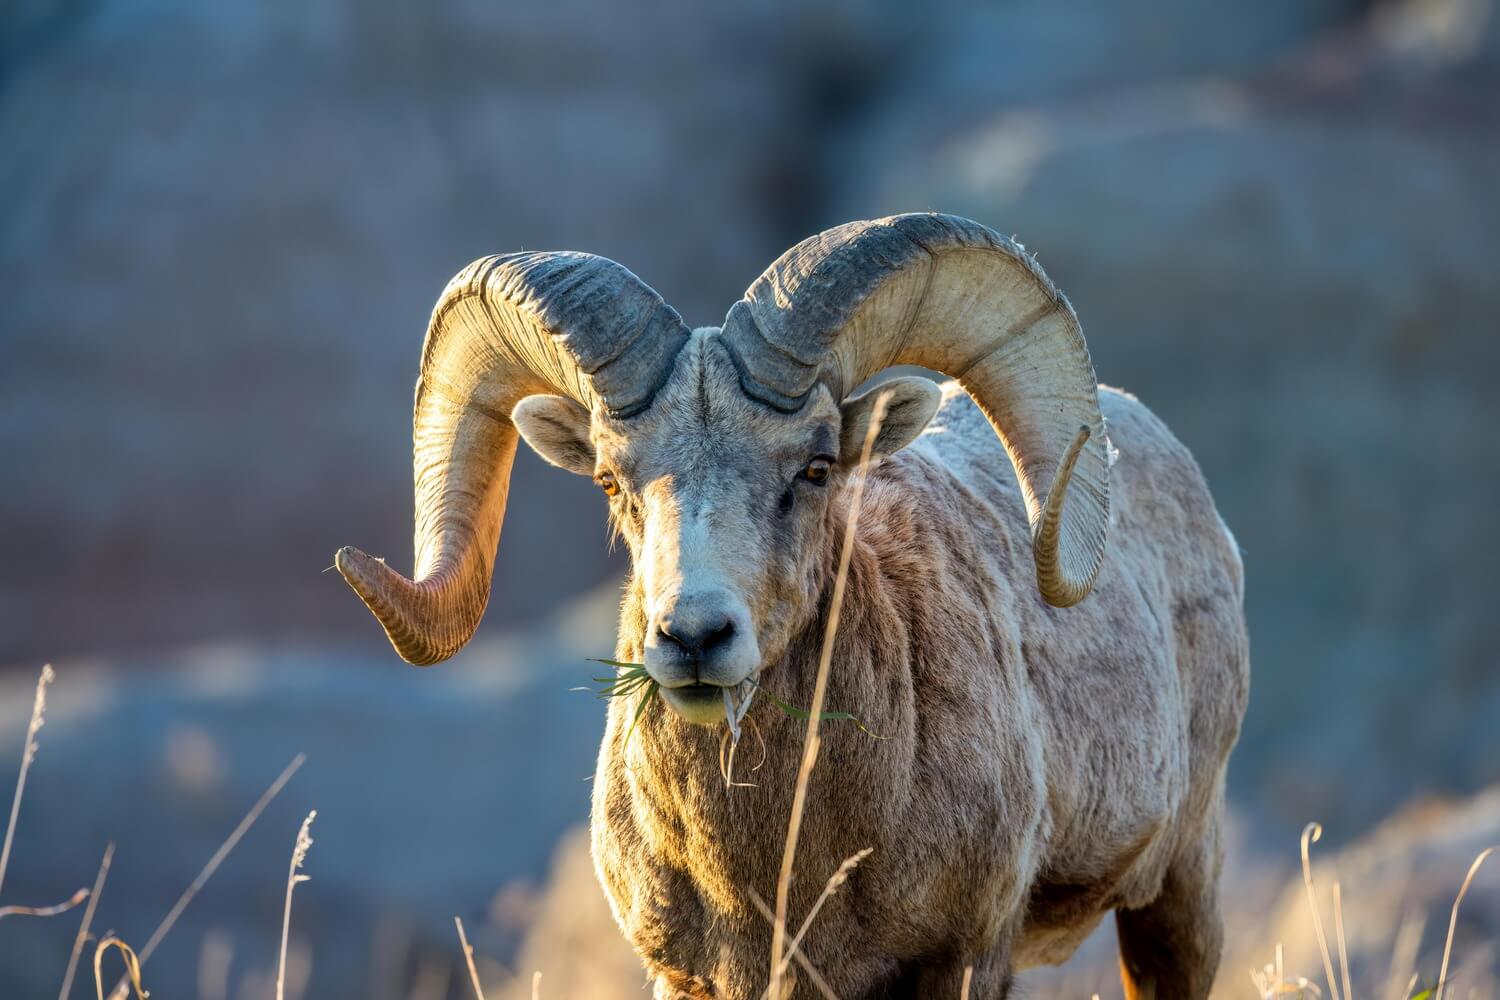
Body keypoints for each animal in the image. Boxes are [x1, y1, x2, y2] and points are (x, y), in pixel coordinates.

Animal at [336, 213, 1250, 999]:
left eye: (816, 467)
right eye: (609, 479)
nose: (694, 636)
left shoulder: (961, 961)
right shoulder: (688, 980)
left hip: (1178, 898)